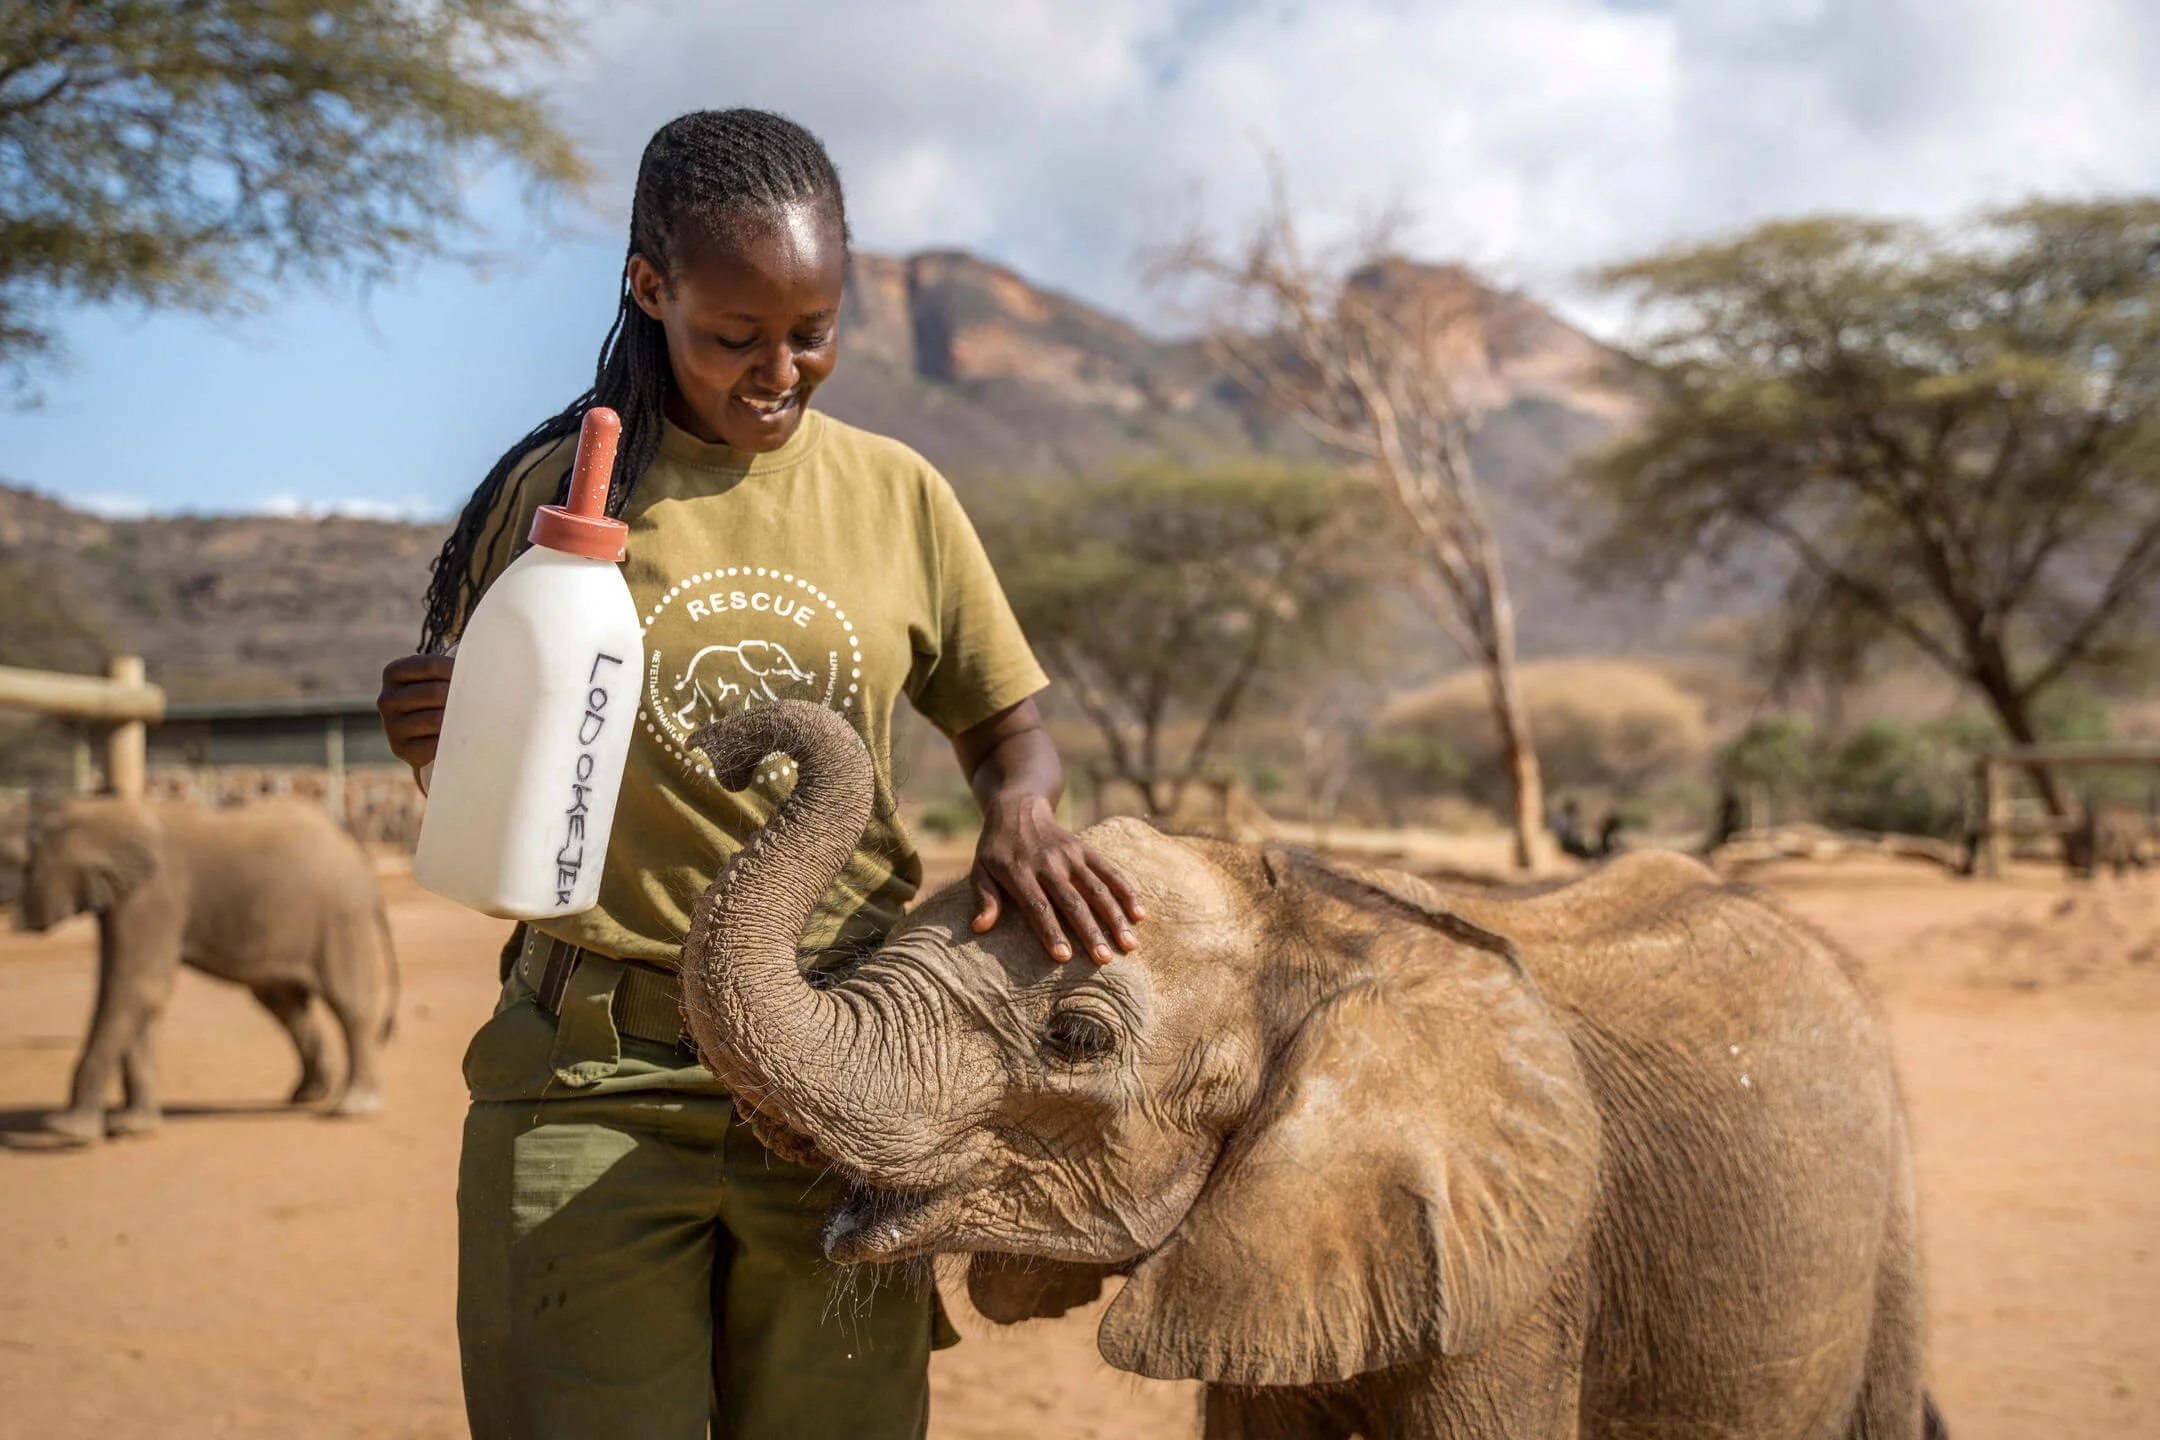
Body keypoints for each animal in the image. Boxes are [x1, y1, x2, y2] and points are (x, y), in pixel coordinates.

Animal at [16, 797, 399, 1144]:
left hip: (340, 919)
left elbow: (137, 987)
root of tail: (363, 867)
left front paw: (67, 1130)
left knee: (348, 1004)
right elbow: (138, 996)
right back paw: (307, 1094)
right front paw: (132, 1128)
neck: (104, 811)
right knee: (283, 1004)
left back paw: (351, 1108)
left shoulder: (154, 895)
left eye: (25, 867)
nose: (19, 922)